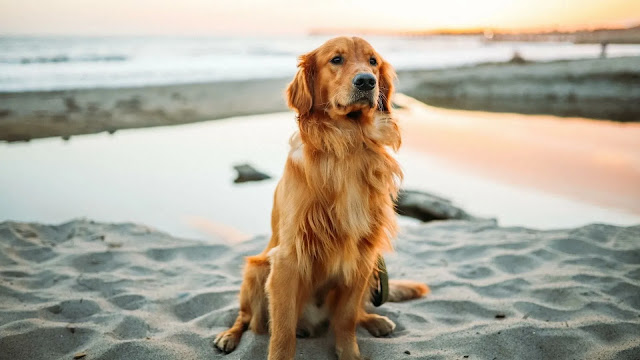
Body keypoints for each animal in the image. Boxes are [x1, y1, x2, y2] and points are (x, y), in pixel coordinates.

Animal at [215, 36, 430, 360]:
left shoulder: (363, 255)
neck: (348, 142)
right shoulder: (287, 259)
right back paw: (228, 336)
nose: (366, 81)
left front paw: (350, 353)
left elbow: (346, 318)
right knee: (245, 318)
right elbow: (282, 332)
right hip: (256, 270)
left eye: (373, 62)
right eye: (336, 60)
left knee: (355, 313)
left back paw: (375, 320)